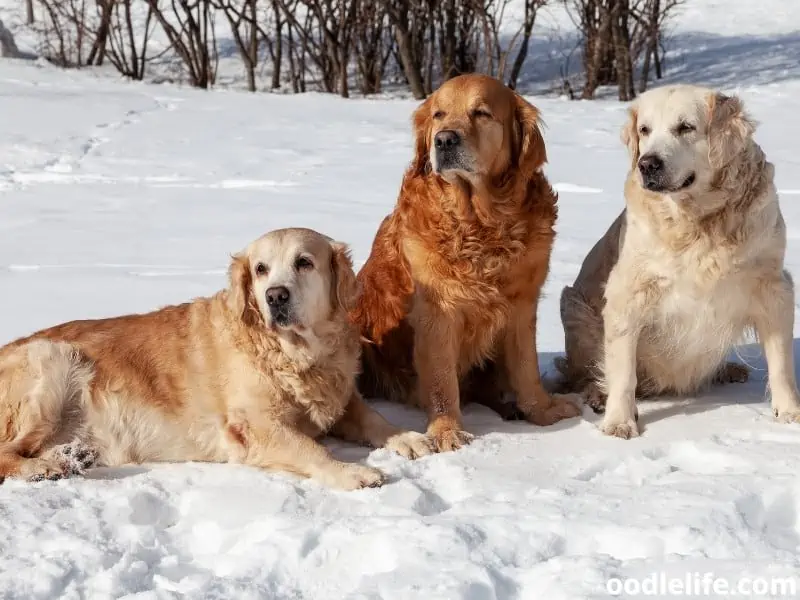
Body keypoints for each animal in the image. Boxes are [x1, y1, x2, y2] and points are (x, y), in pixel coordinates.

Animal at [0, 229, 432, 488]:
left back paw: (72, 456)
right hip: (51, 359)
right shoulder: (256, 427)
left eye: (304, 262)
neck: (295, 352)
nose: (275, 296)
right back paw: (44, 468)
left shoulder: (339, 398)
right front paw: (352, 471)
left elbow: (373, 418)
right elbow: (312, 450)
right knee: (8, 453)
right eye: (260, 269)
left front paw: (409, 437)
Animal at [354, 74, 580, 450]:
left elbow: (526, 366)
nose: (445, 139)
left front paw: (542, 410)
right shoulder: (438, 312)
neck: (480, 224)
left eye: (481, 113)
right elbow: (442, 381)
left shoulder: (522, 305)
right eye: (438, 115)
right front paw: (447, 431)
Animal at [556, 84, 800, 438]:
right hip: (573, 305)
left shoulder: (773, 285)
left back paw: (728, 370)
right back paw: (597, 395)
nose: (648, 164)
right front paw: (619, 421)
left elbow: (780, 360)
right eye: (644, 130)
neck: (698, 221)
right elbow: (622, 371)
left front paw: (790, 413)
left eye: (686, 127)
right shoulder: (627, 292)